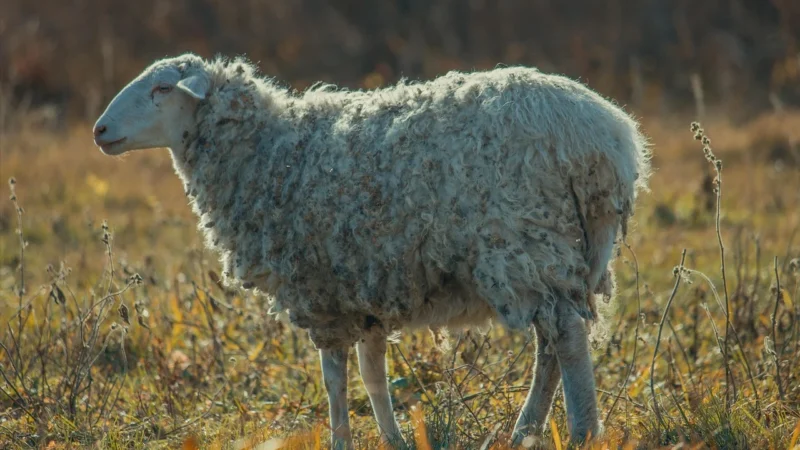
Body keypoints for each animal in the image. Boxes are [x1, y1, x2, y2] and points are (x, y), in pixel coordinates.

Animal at [93, 52, 650, 449]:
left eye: (162, 88)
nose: (99, 130)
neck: (268, 151)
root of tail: (609, 140)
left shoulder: (320, 291)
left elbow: (335, 378)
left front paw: (340, 440)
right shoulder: (365, 286)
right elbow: (373, 373)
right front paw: (392, 438)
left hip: (526, 240)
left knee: (566, 338)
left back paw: (581, 432)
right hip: (558, 252)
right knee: (551, 345)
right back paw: (525, 433)